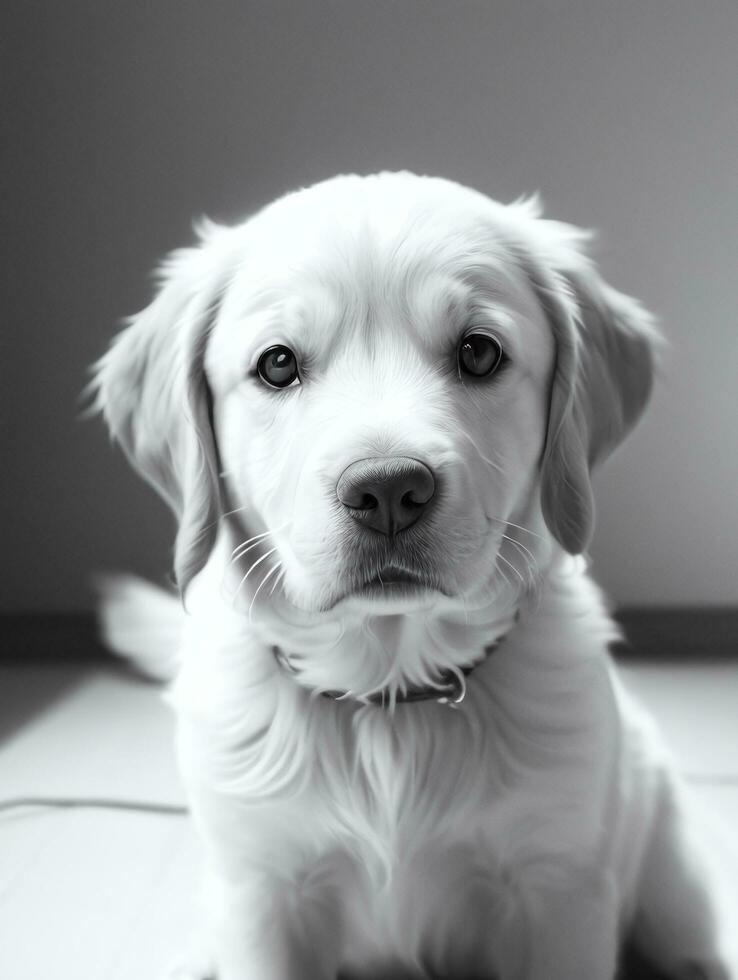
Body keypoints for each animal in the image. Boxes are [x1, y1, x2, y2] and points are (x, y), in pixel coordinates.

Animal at [92, 172, 736, 976]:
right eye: (277, 364)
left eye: (480, 353)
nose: (389, 490)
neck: (389, 698)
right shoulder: (265, 894)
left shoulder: (559, 887)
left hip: (670, 869)